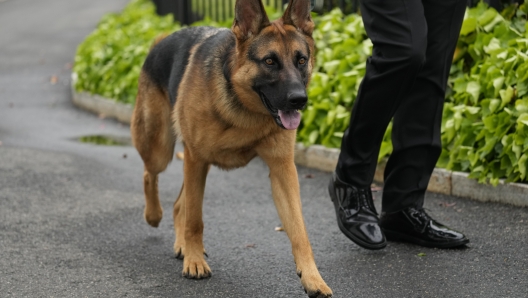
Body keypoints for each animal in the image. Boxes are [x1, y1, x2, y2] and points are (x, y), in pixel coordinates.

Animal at [130, 0, 332, 296]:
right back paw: (154, 215)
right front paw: (195, 262)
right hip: (161, 149)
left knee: (179, 204)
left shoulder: (283, 170)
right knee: (149, 175)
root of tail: (160, 41)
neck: (245, 109)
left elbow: (299, 230)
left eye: (301, 60)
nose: (299, 100)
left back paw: (181, 244)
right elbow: (195, 220)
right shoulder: (195, 159)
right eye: (269, 61)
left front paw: (313, 278)